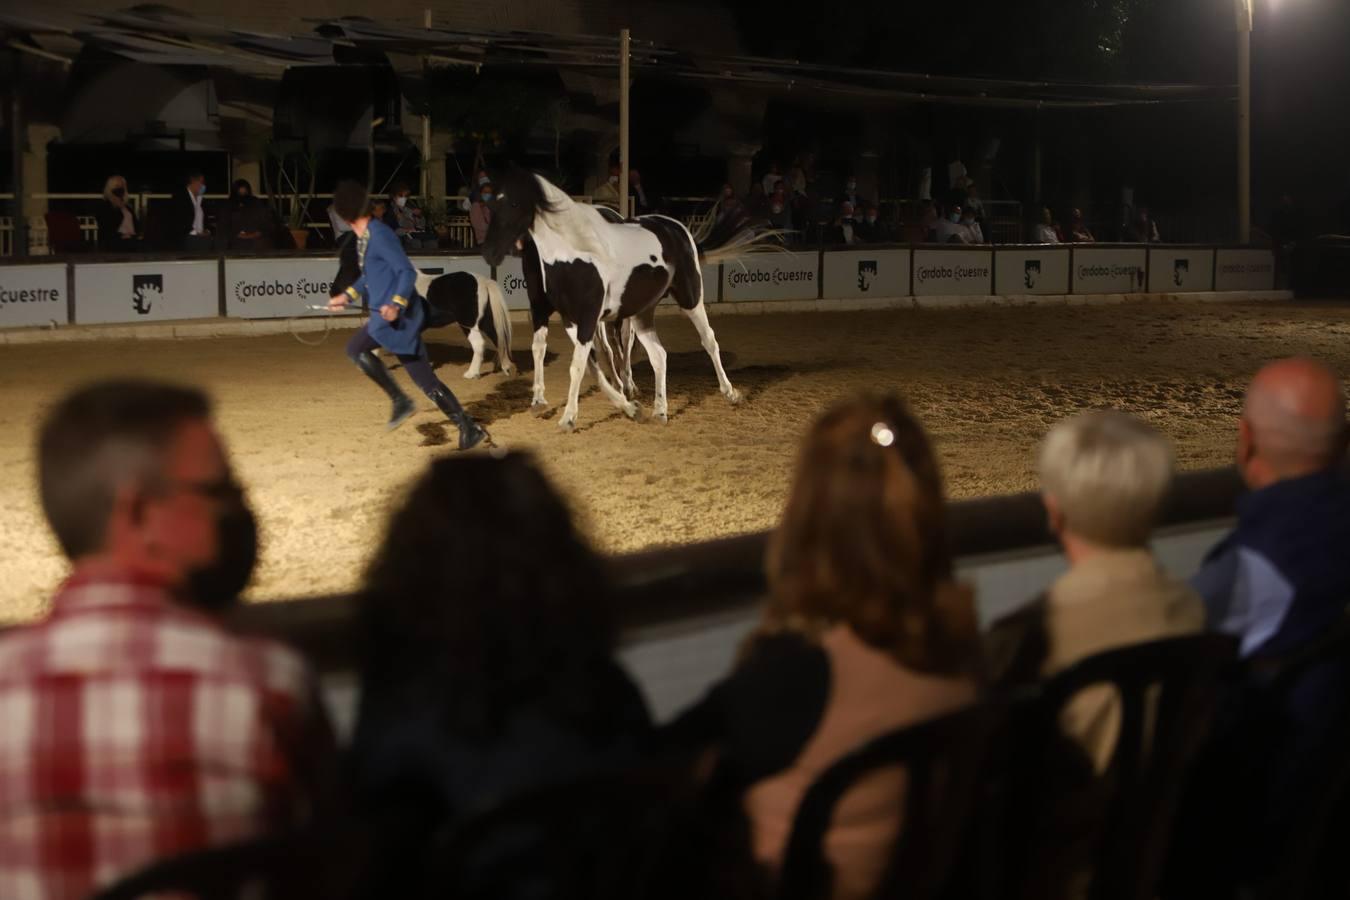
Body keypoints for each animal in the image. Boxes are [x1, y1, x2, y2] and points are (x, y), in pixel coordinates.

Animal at [480, 174, 745, 437]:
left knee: (708, 340)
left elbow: (579, 366)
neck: (572, 256)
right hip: (642, 313)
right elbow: (590, 366)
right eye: (492, 206)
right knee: (658, 355)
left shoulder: (588, 318)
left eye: (514, 203)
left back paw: (730, 393)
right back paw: (659, 411)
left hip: (690, 298)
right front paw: (631, 408)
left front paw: (568, 418)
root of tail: (676, 227)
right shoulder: (568, 319)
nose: (490, 252)